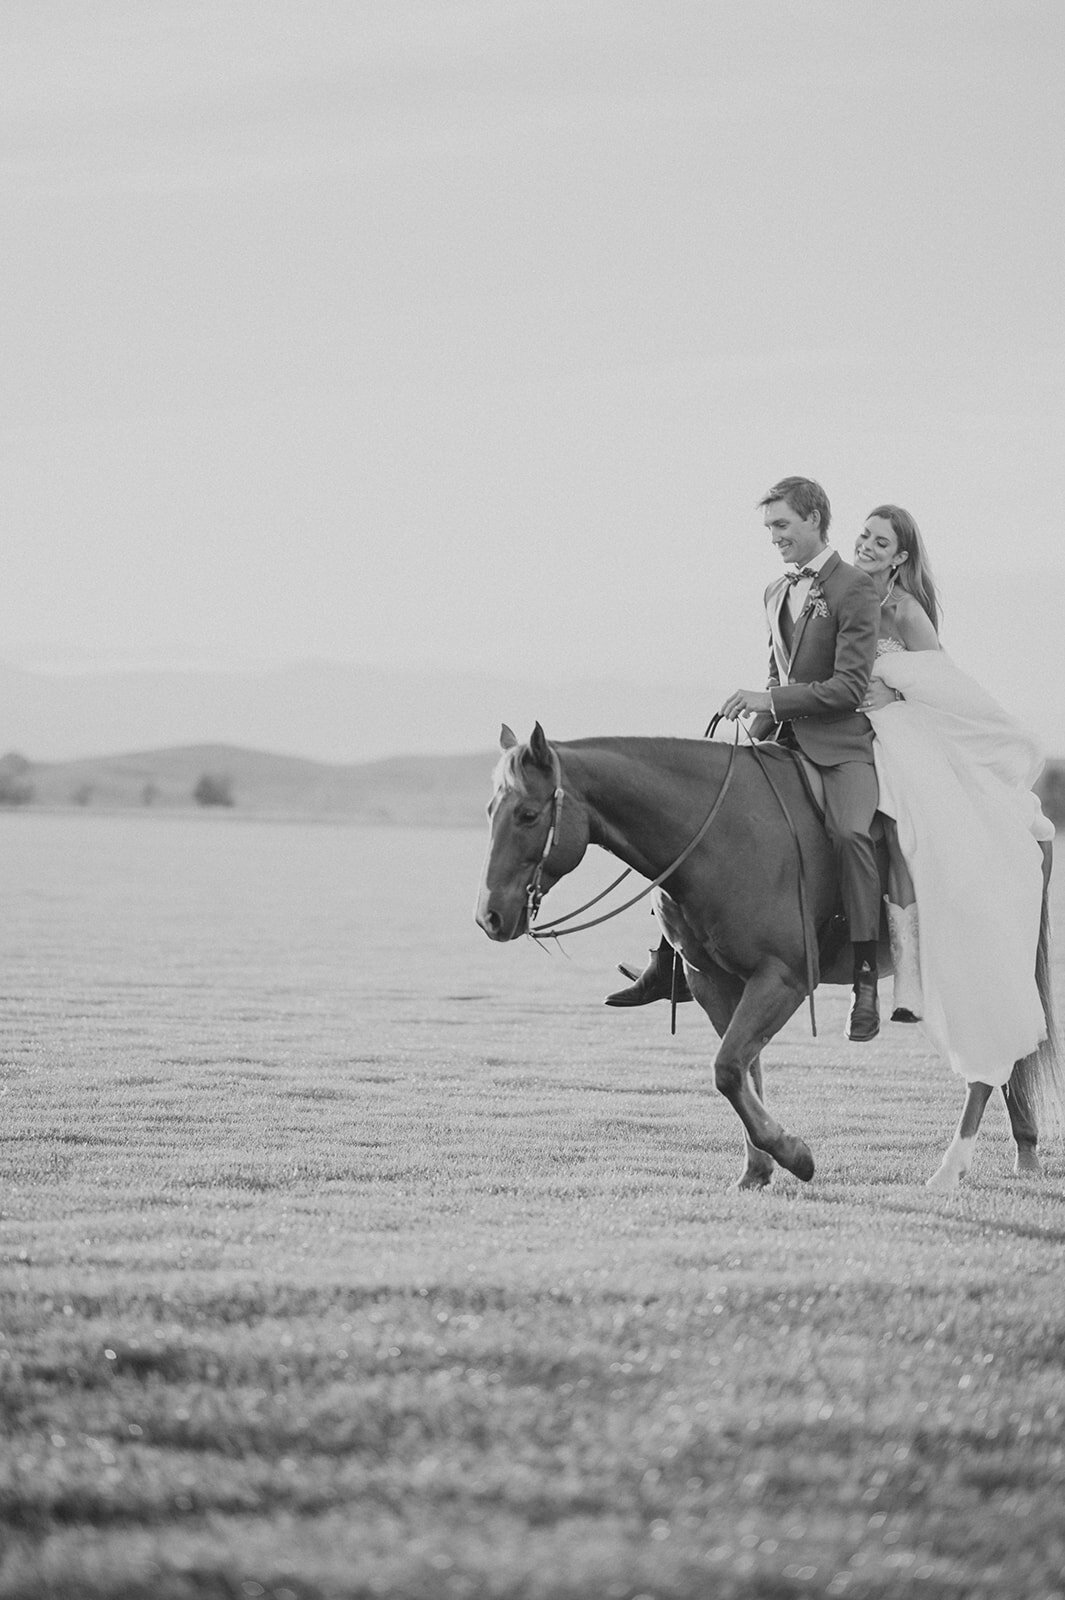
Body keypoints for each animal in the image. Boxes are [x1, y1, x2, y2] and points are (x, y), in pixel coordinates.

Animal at [476, 723, 1055, 1190]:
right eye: (489, 812)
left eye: (528, 814)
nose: (489, 917)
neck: (720, 835)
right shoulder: (713, 980)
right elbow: (743, 1069)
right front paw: (758, 1167)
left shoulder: (783, 977)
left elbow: (728, 1069)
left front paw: (794, 1155)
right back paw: (1024, 1150)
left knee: (988, 1062)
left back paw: (950, 1170)